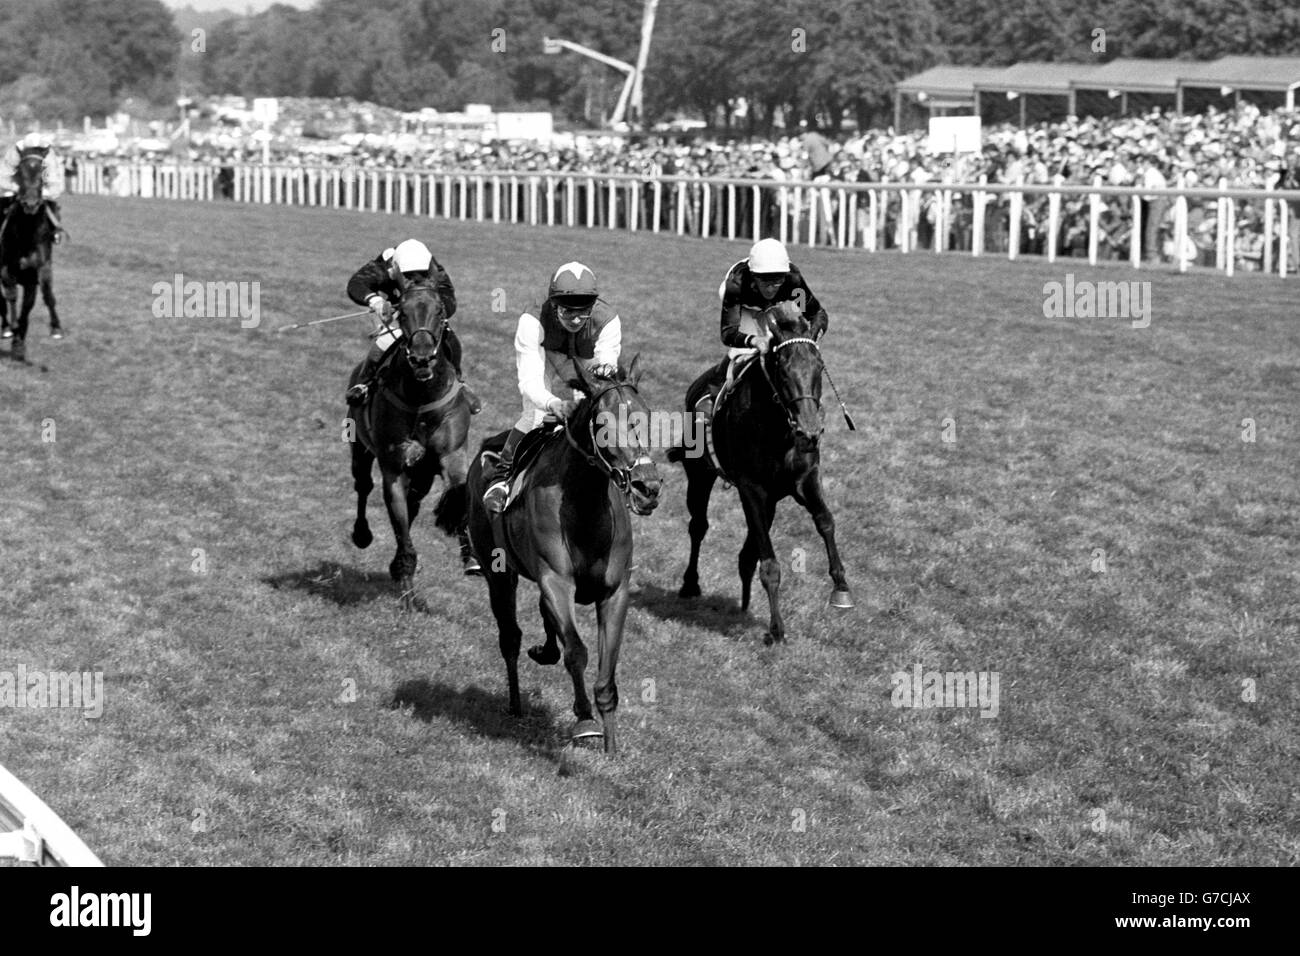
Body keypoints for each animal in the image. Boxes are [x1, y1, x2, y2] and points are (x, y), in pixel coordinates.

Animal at [0, 147, 62, 361]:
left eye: (43, 171)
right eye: (20, 170)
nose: (31, 203)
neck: (27, 232)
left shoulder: (39, 270)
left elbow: (42, 297)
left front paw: (56, 328)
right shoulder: (7, 268)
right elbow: (11, 296)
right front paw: (12, 329)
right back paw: (6, 328)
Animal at [348, 277, 475, 608]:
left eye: (439, 309)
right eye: (401, 312)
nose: (421, 356)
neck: (422, 396)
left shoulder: (451, 455)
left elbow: (458, 491)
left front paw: (471, 557)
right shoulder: (394, 466)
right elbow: (401, 524)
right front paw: (407, 588)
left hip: (423, 473)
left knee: (414, 501)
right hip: (359, 447)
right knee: (363, 486)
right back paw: (362, 535)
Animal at [454, 358, 660, 754]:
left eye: (645, 416)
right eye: (602, 425)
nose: (648, 487)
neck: (584, 504)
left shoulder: (615, 592)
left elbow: (607, 671)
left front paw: (612, 746)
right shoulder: (556, 580)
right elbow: (576, 651)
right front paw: (585, 721)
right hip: (497, 571)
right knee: (510, 637)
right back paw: (515, 703)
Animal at [670, 306, 852, 642]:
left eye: (819, 367)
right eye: (782, 371)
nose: (810, 432)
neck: (778, 429)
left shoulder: (804, 479)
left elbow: (825, 520)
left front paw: (841, 587)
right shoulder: (752, 489)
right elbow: (768, 562)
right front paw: (776, 628)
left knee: (747, 551)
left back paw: (743, 603)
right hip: (699, 475)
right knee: (698, 526)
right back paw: (690, 584)